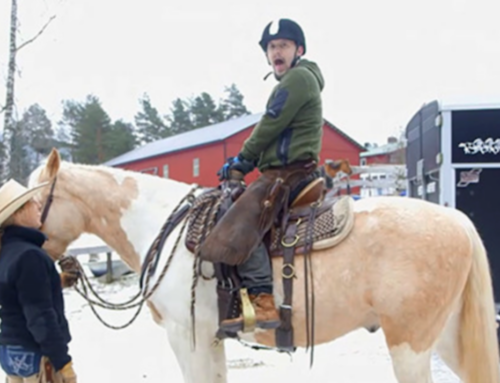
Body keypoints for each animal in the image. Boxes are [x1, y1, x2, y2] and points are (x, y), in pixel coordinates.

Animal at [28, 148, 500, 382]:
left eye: (31, 201)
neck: (162, 225)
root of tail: (458, 220)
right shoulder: (209, 339)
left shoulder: (187, 336)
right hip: (446, 337)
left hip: (411, 344)